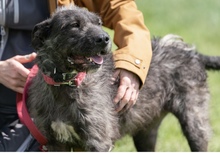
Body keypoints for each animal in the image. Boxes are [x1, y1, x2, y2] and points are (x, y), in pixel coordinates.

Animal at [27, 5, 220, 151]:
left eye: (98, 23)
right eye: (74, 24)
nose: (104, 38)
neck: (67, 83)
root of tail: (190, 51)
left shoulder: (98, 141)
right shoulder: (54, 143)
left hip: (195, 123)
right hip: (146, 132)